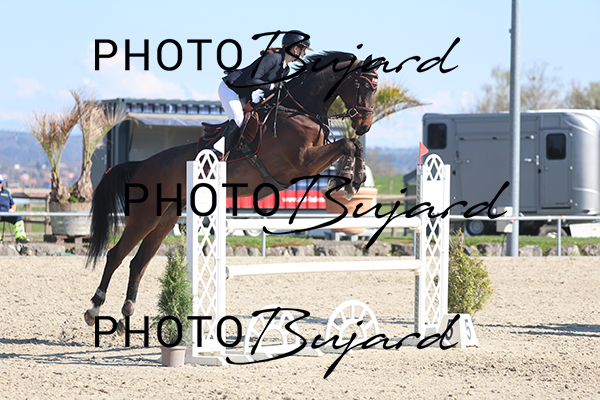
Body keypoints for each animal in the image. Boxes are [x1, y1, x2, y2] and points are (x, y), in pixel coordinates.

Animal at [84, 51, 381, 329]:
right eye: (365, 87)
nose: (365, 125)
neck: (300, 111)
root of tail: (141, 164)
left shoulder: (309, 162)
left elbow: (352, 144)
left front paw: (353, 179)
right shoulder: (300, 163)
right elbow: (347, 144)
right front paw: (349, 180)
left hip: (165, 218)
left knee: (139, 262)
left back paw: (126, 316)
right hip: (145, 217)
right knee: (116, 255)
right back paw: (95, 308)